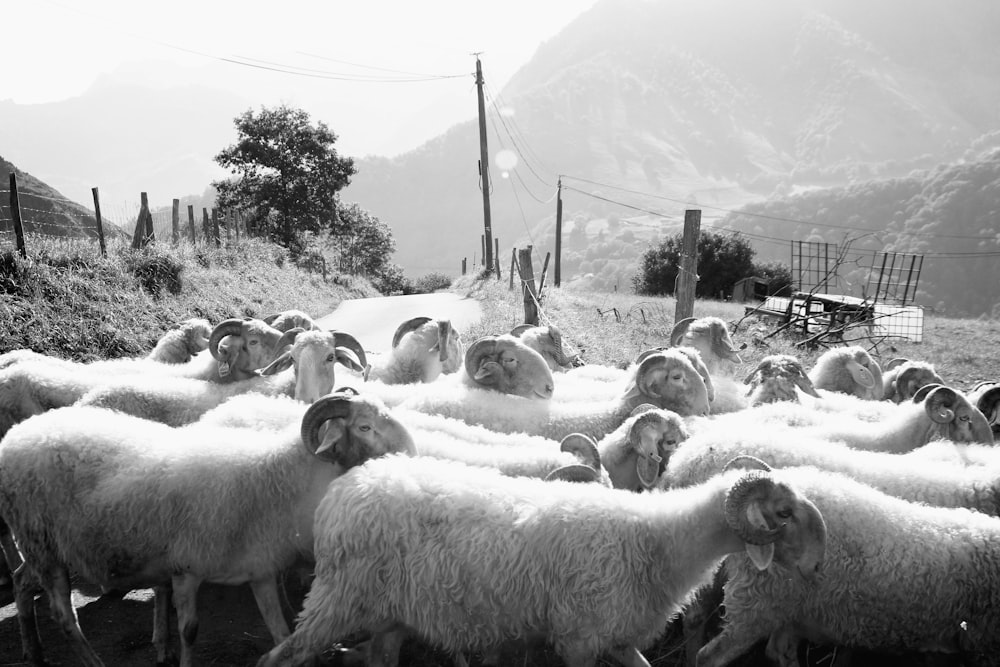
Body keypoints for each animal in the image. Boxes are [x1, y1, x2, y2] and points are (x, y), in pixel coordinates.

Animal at [0, 392, 414, 667]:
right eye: (365, 426)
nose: (411, 451)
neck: (280, 478)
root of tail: (19, 433)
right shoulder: (186, 568)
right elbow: (190, 631)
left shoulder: (261, 571)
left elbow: (280, 631)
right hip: (43, 546)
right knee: (63, 616)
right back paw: (89, 661)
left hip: (43, 546)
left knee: (21, 581)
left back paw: (33, 652)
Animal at [254, 452, 824, 664]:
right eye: (783, 512)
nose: (819, 566)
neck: (656, 542)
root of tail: (341, 492)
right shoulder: (579, 639)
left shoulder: (616, 637)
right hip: (338, 598)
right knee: (280, 656)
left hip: (390, 613)